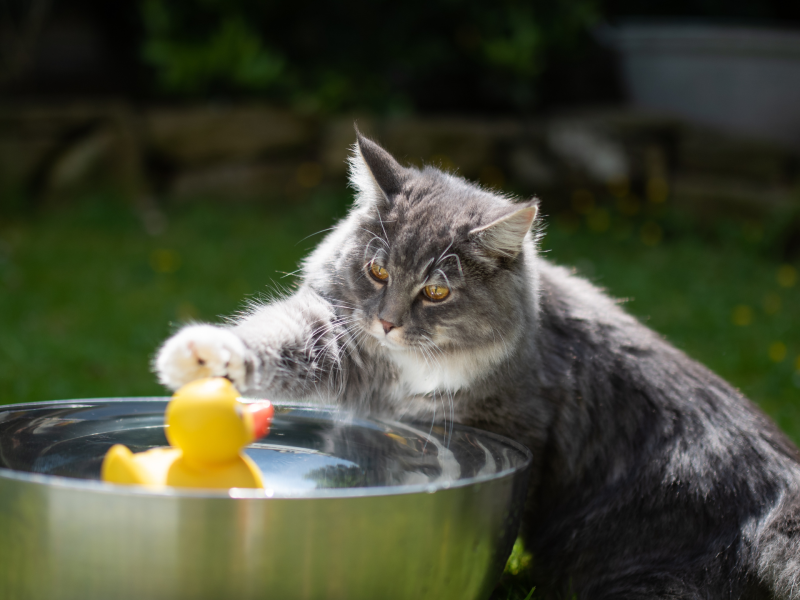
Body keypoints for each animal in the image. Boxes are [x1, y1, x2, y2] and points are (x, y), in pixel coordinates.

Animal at [155, 131, 800, 600]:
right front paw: (200, 355)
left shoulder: (510, 424)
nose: (387, 323)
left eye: (437, 292)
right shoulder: (342, 342)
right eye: (379, 271)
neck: (413, 367)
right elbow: (275, 338)